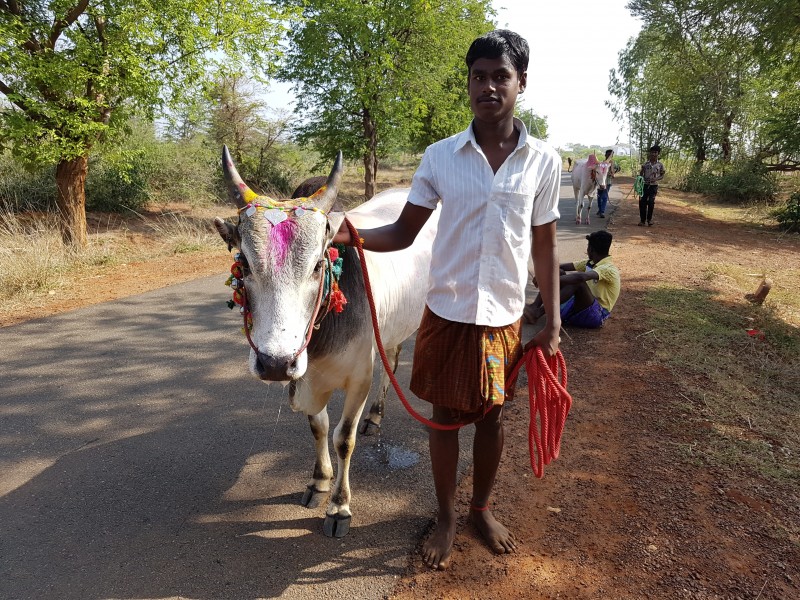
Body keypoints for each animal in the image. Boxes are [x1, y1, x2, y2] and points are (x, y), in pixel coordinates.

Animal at [214, 146, 438, 540]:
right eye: (245, 264)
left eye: (319, 266)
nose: (275, 363)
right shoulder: (306, 375)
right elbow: (318, 427)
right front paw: (319, 482)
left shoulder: (358, 379)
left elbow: (342, 438)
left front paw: (339, 506)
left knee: (391, 368)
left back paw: (375, 415)